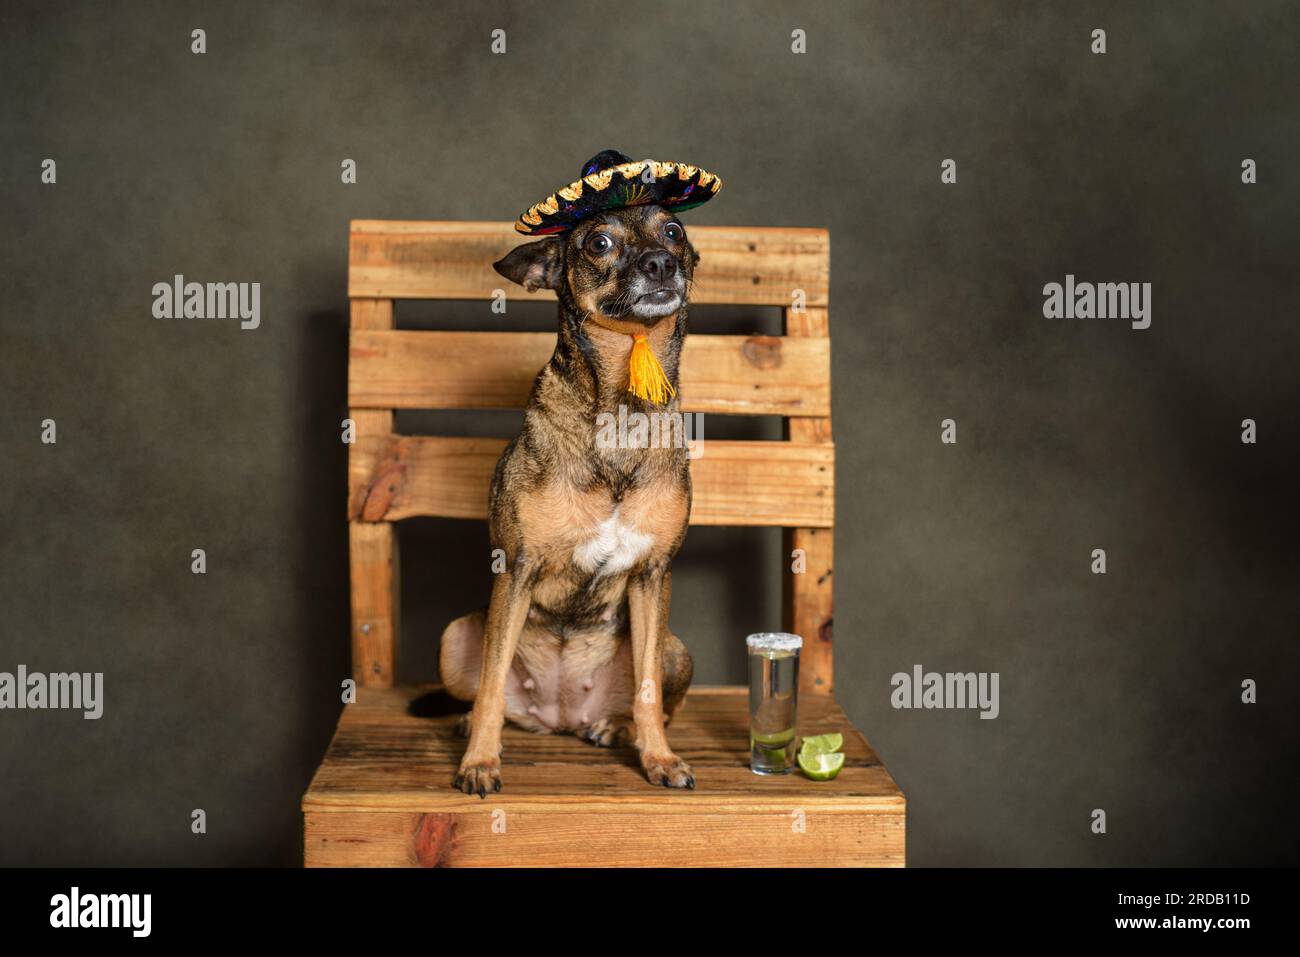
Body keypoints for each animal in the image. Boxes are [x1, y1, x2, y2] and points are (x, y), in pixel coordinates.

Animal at [436, 151, 722, 790]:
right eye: (599, 242)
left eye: (674, 231)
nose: (661, 262)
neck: (619, 405)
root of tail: (562, 716)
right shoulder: (517, 569)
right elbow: (492, 683)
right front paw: (480, 762)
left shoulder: (652, 574)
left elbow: (647, 691)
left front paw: (658, 758)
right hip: (455, 635)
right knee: (491, 692)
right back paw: (471, 728)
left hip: (677, 649)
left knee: (654, 693)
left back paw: (613, 727)